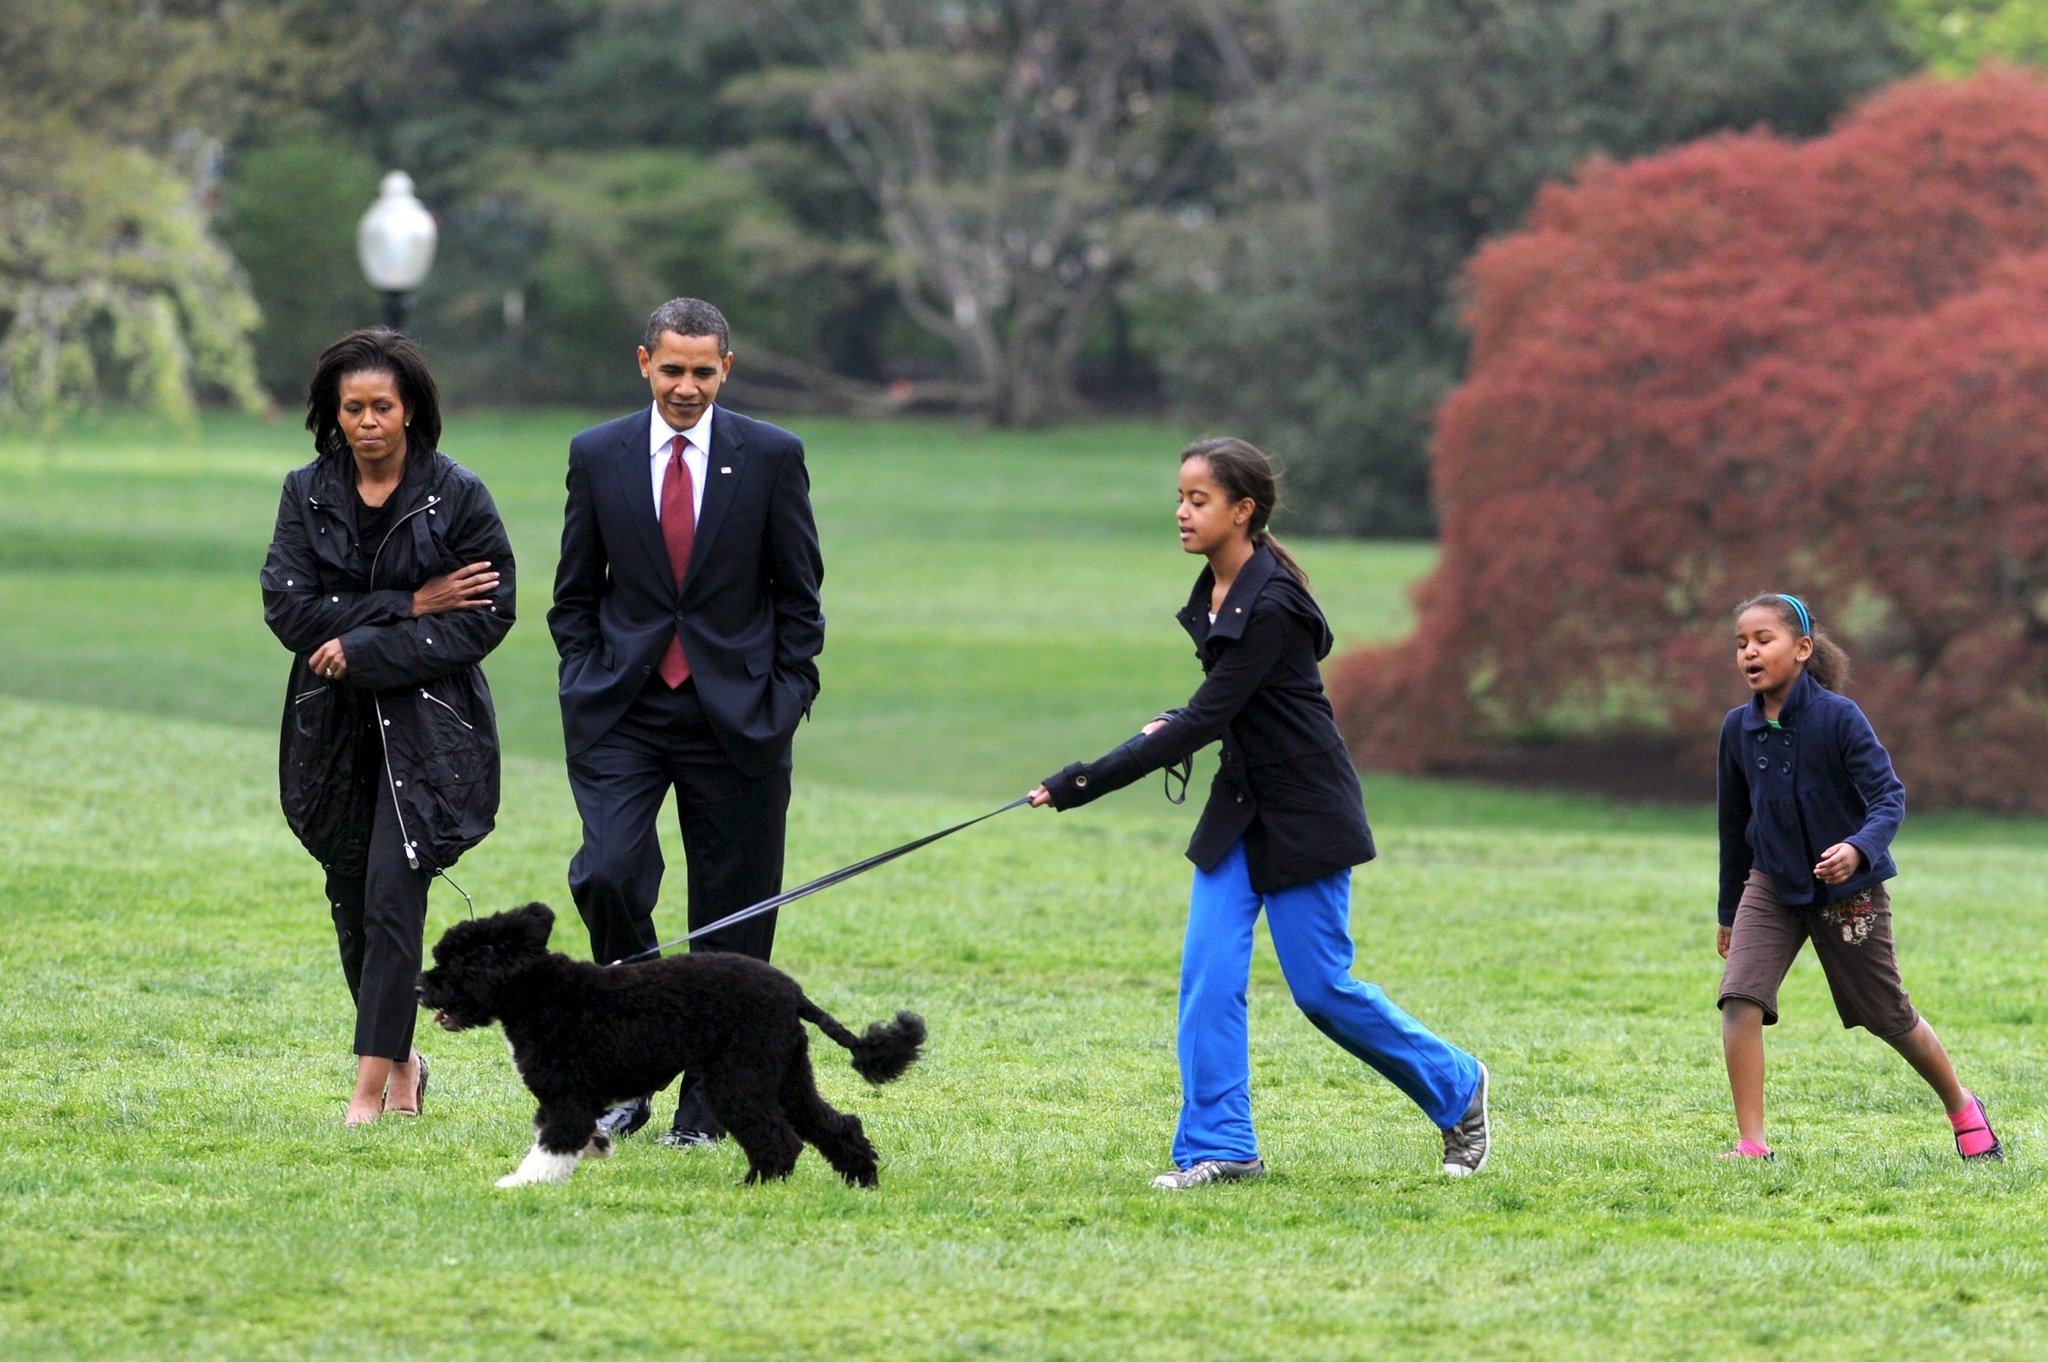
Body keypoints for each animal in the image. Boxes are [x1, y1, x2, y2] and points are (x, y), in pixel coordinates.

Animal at [415, 909, 929, 1187]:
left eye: (455, 963)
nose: (420, 988)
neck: (539, 992)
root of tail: (793, 994)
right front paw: (597, 1147)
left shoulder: (566, 1096)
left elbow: (552, 1144)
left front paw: (521, 1183)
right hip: (785, 1074)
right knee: (836, 1124)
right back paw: (861, 1179)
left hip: (737, 1078)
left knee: (781, 1139)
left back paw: (754, 1187)